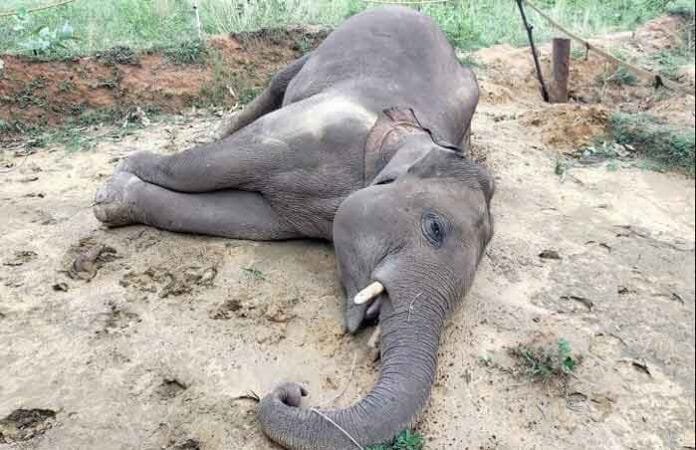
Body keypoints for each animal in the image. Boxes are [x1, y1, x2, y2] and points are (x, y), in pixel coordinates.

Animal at [93, 5, 494, 449]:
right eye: (435, 227)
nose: (295, 391)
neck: (415, 136)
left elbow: (245, 217)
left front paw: (117, 194)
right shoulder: (318, 128)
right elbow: (210, 165)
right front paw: (115, 185)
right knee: (277, 84)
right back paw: (220, 128)